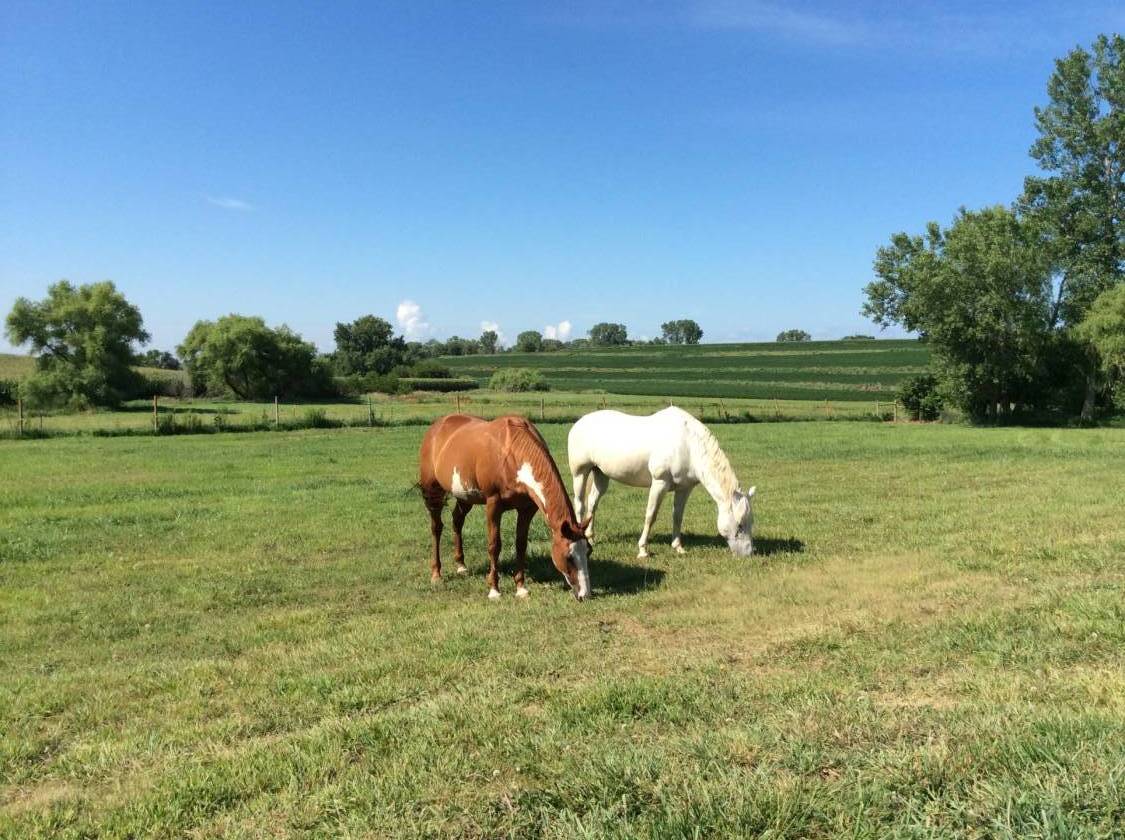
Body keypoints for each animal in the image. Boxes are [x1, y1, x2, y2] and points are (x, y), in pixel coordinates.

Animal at [418, 414, 593, 601]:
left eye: (588, 551)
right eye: (569, 557)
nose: (585, 594)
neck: (511, 453)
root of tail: (436, 427)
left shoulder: (527, 509)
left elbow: (521, 544)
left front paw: (521, 588)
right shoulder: (493, 504)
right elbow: (494, 545)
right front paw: (494, 590)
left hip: (464, 496)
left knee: (457, 520)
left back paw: (461, 566)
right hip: (433, 492)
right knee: (436, 528)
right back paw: (436, 574)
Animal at [567, 406, 756, 558]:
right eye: (739, 525)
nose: (748, 553)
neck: (688, 445)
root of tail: (578, 424)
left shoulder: (684, 488)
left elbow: (678, 516)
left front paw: (678, 547)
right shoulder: (660, 483)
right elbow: (651, 515)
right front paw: (643, 550)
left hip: (601, 474)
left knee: (592, 504)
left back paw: (591, 537)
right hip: (580, 473)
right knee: (580, 504)